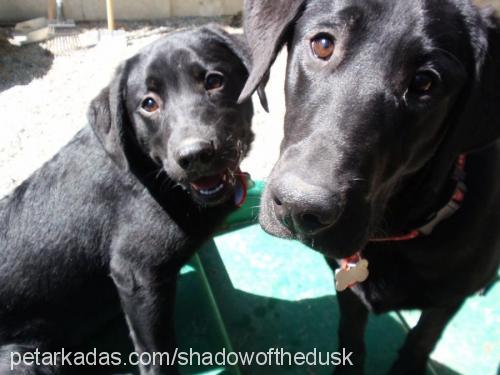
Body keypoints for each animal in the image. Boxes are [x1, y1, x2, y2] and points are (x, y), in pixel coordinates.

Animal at [0, 25, 258, 374]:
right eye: (148, 104)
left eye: (214, 81)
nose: (195, 155)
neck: (154, 174)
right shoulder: (137, 274)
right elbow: (157, 353)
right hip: (22, 358)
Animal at [240, 0, 498, 374]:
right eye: (323, 44)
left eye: (425, 82)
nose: (299, 209)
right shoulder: (347, 288)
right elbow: (350, 333)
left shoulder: (445, 303)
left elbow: (420, 341)